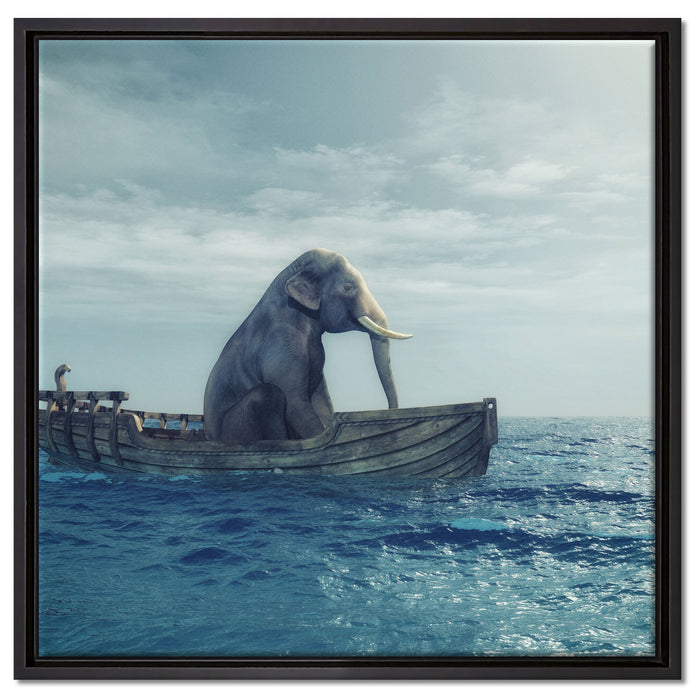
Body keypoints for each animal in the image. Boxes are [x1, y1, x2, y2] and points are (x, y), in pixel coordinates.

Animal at [203, 248, 411, 443]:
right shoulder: (281, 346)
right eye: (347, 287)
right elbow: (296, 404)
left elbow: (322, 400)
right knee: (269, 393)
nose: (390, 412)